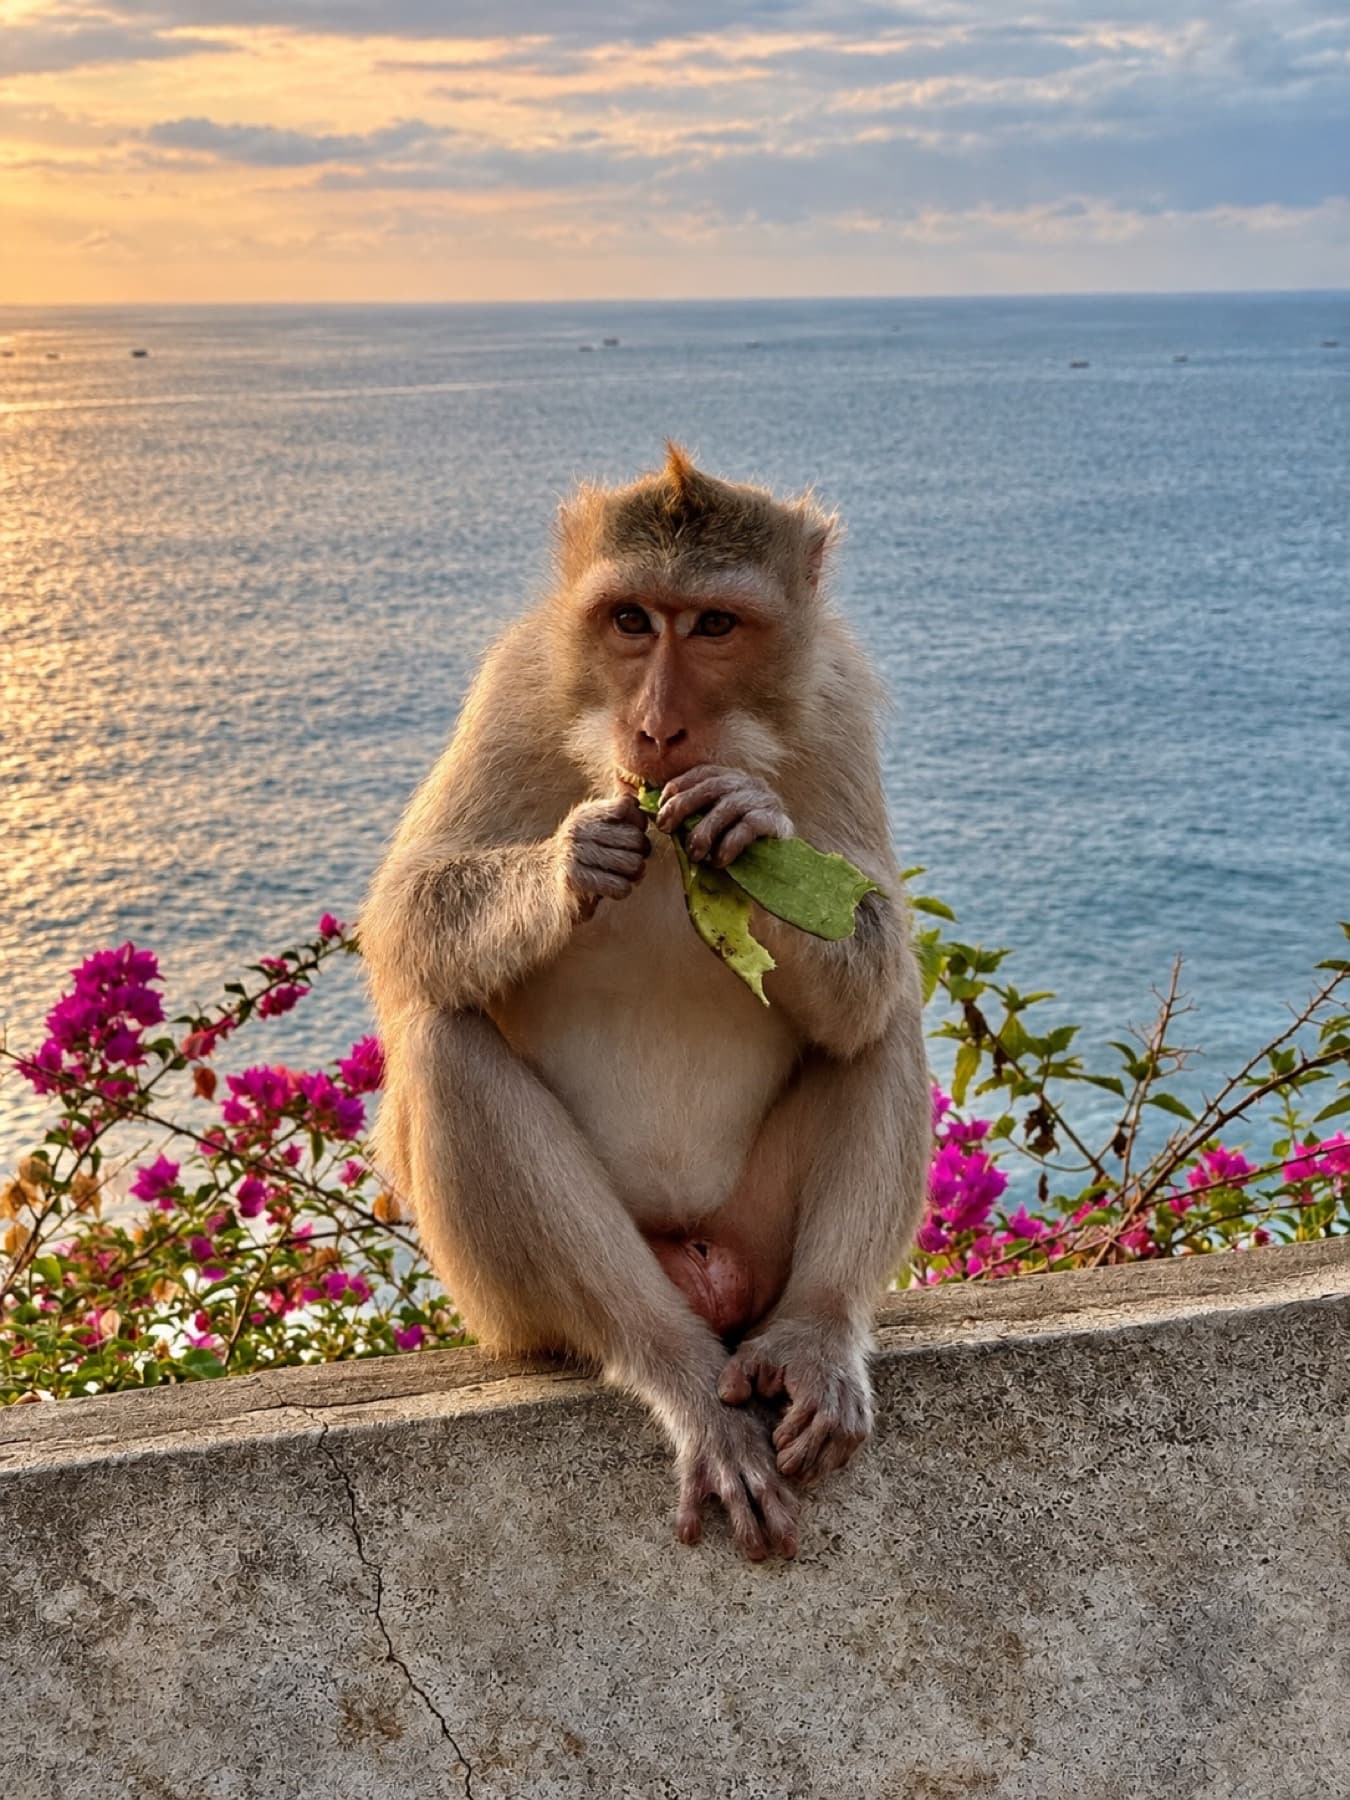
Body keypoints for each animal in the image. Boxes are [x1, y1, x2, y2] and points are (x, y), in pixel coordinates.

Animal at [360, 446, 931, 1561]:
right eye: (631, 620)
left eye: (712, 624)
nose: (657, 726)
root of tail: (704, 1268)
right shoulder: (516, 684)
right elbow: (402, 919)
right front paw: (570, 863)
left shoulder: (836, 701)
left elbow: (875, 943)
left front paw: (751, 827)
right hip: (516, 1311)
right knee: (443, 1043)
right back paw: (669, 1363)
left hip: (754, 1239)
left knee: (884, 1020)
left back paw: (817, 1332)